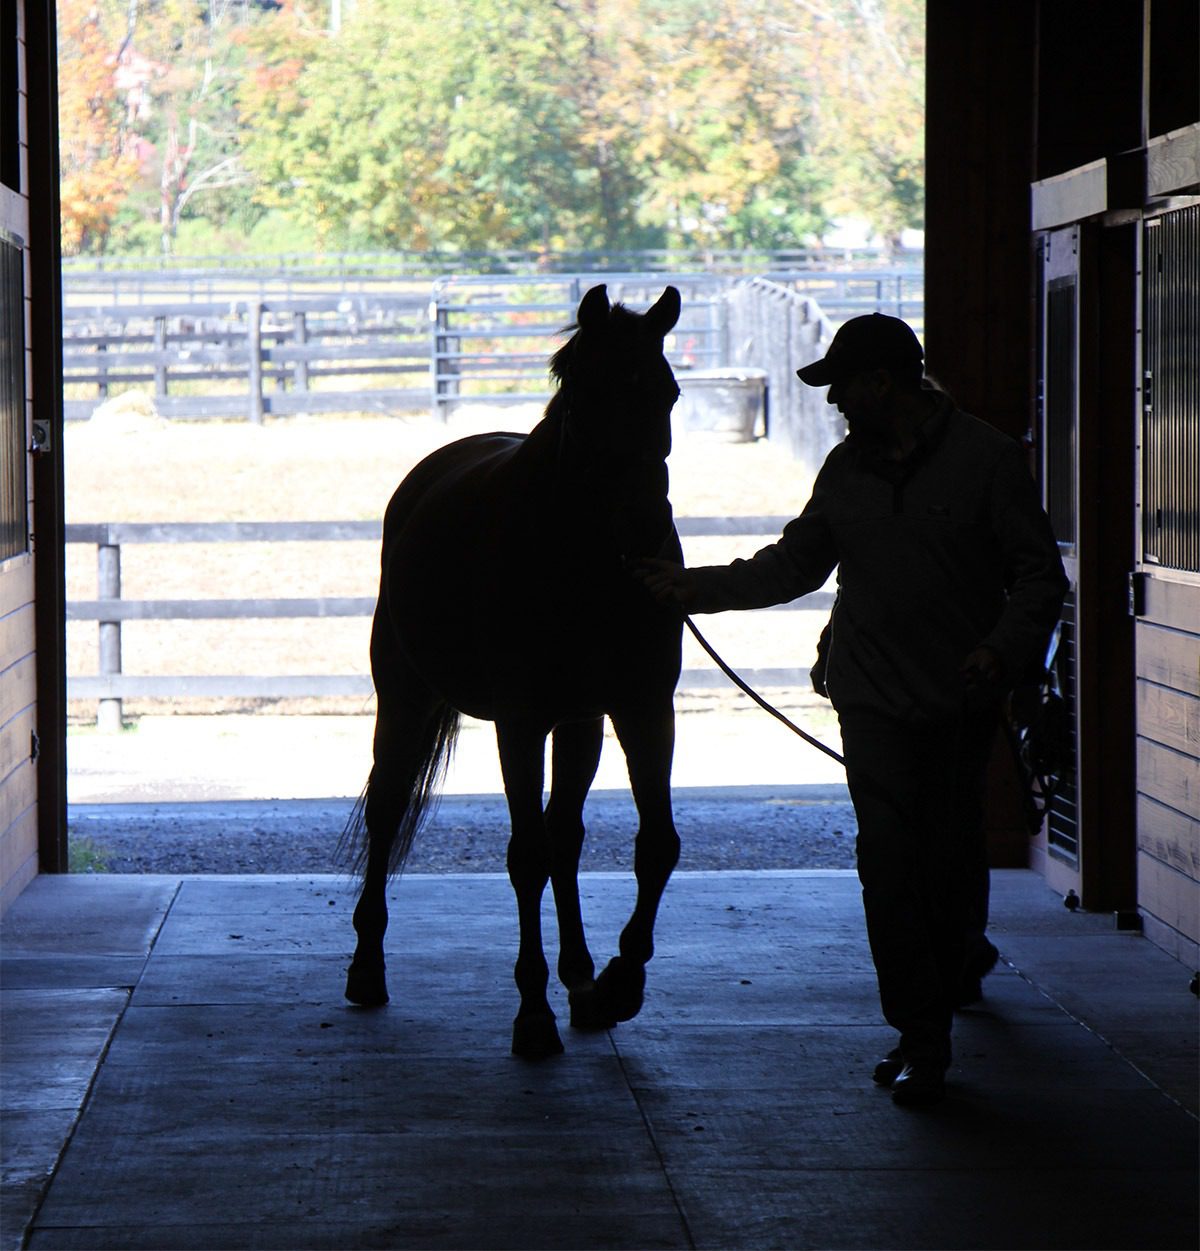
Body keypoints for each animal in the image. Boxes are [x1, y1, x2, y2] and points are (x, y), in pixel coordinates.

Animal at [343, 283, 686, 1059]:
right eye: (588, 391)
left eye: (669, 392)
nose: (646, 526)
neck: (587, 563)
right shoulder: (520, 722)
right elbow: (525, 853)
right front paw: (532, 1014)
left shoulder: (642, 708)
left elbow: (655, 844)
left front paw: (619, 981)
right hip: (404, 698)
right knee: (388, 810)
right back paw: (367, 967)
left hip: (581, 725)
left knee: (567, 838)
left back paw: (583, 981)